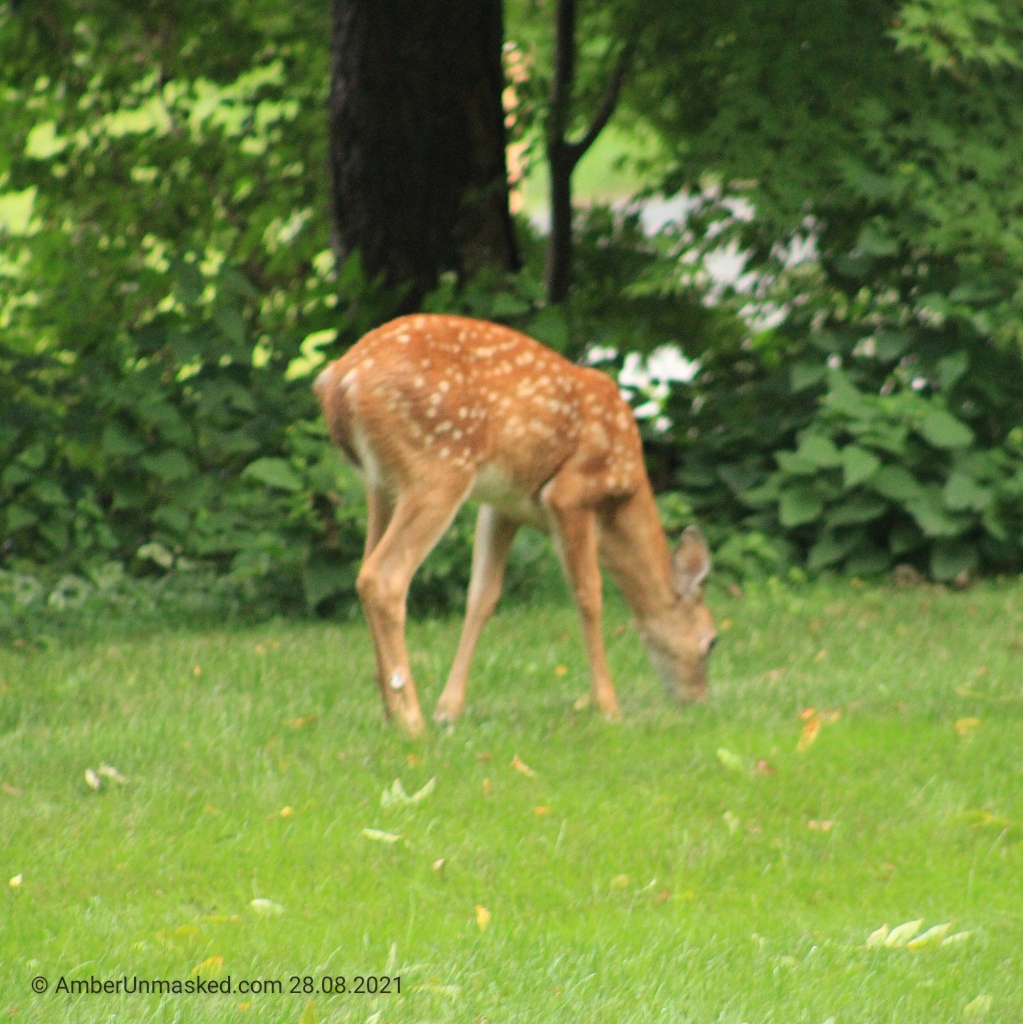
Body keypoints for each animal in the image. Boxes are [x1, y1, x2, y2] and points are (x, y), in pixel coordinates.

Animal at [313, 314, 716, 737]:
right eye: (711, 642)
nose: (698, 702)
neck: (622, 494)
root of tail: (340, 379)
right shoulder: (569, 493)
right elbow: (589, 595)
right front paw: (608, 707)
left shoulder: (503, 506)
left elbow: (483, 597)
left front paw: (449, 710)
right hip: (439, 469)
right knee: (384, 577)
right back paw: (411, 719)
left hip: (380, 483)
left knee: (363, 574)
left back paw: (392, 714)